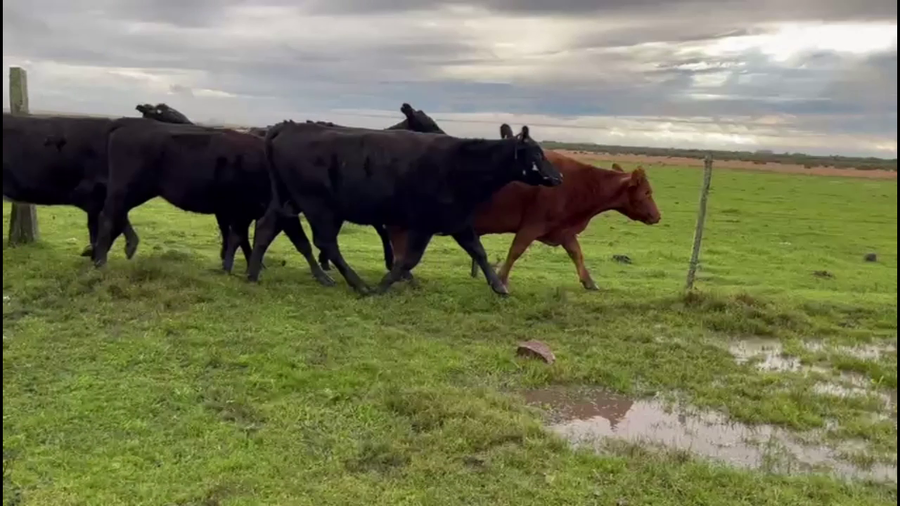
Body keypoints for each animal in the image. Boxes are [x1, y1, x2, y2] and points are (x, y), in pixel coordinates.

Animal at [247, 123, 563, 296]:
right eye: (537, 154)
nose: (558, 177)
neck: (462, 164)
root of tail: (288, 126)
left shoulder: (458, 221)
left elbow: (479, 252)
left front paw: (499, 286)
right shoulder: (425, 224)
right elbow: (408, 260)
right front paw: (383, 286)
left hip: (288, 201)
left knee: (267, 228)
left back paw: (253, 275)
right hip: (319, 207)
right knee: (325, 242)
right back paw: (358, 284)